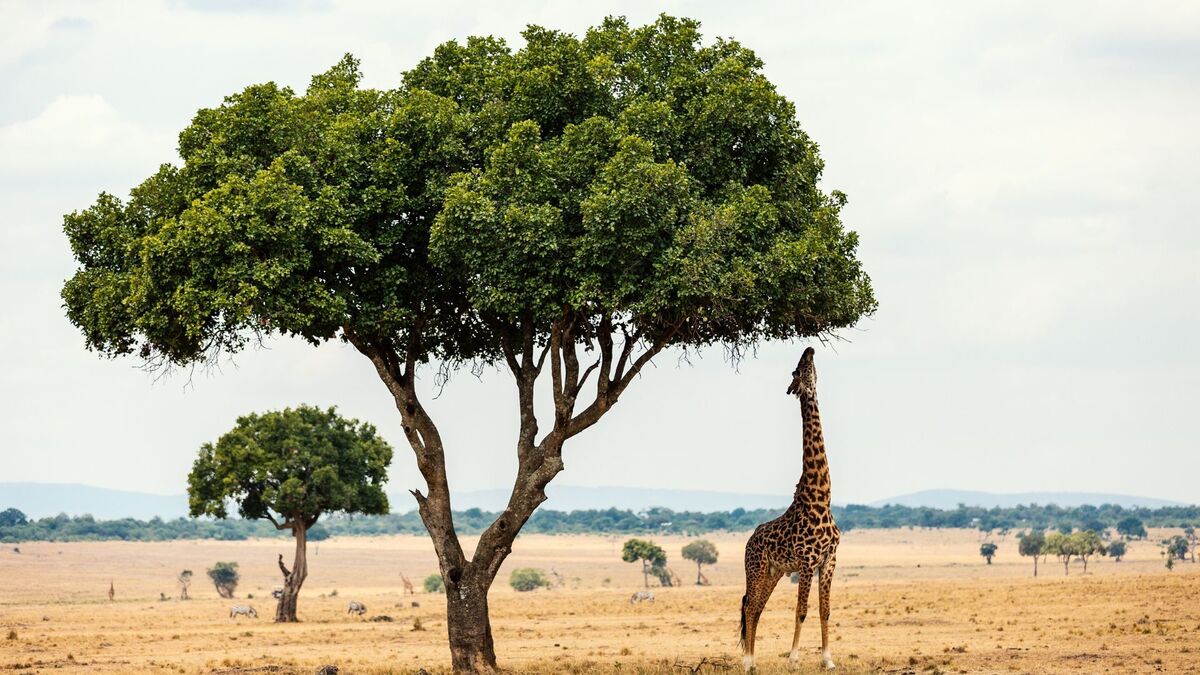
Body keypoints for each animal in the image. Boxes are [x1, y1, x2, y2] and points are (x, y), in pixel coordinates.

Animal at [739, 347, 840, 672]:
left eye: (807, 365)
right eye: (797, 371)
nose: (809, 349)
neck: (820, 498)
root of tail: (749, 540)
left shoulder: (829, 560)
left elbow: (824, 610)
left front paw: (828, 660)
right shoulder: (807, 561)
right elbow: (801, 610)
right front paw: (794, 660)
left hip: (774, 572)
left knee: (757, 607)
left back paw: (753, 662)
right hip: (756, 568)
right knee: (749, 606)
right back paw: (748, 663)